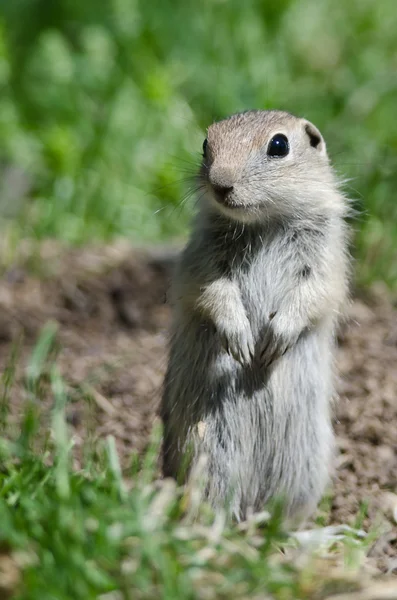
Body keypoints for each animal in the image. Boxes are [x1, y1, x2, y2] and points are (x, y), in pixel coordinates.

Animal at [159, 110, 348, 524]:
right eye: (206, 144)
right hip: (206, 449)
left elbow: (314, 292)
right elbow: (213, 291)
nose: (220, 184)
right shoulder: (202, 258)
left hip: (306, 463)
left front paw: (274, 339)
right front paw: (242, 343)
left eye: (279, 145)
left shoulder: (324, 256)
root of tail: (250, 506)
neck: (265, 222)